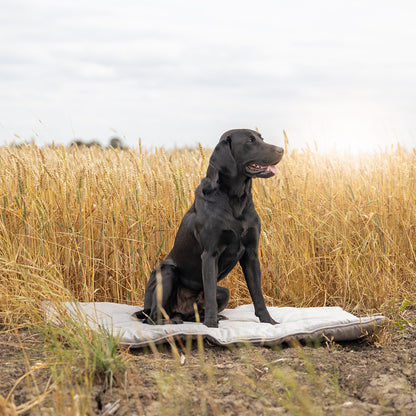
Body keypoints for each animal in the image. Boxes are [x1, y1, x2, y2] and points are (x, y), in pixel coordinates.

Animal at [136, 128, 282, 326]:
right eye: (250, 141)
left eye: (261, 139)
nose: (281, 150)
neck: (235, 200)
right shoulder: (210, 254)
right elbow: (211, 294)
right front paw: (212, 325)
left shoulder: (251, 254)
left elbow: (257, 294)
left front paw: (269, 321)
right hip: (166, 272)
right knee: (153, 316)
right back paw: (172, 321)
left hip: (225, 291)